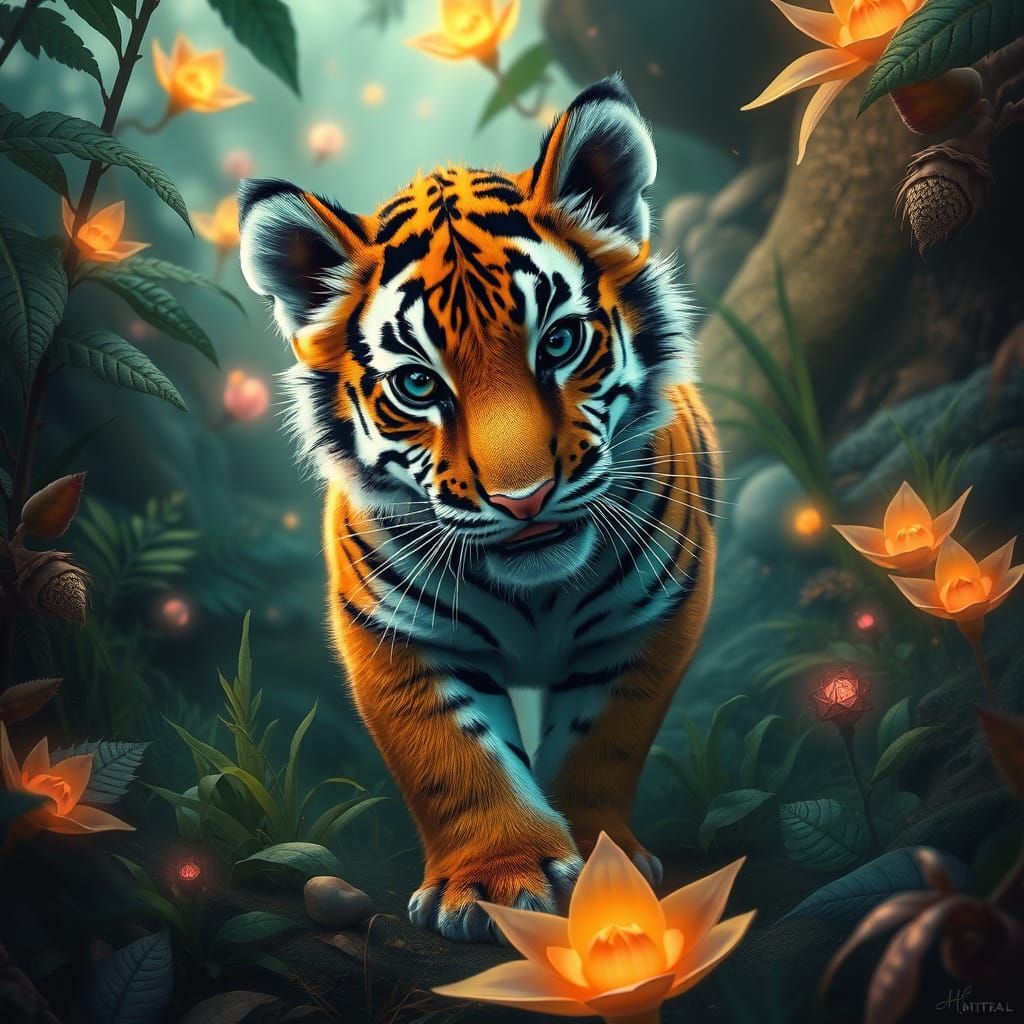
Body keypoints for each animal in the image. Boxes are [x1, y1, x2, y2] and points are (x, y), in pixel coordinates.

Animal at [238, 75, 719, 943]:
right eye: (418, 384)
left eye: (559, 343)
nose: (523, 499)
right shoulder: (397, 634)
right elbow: (456, 759)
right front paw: (502, 880)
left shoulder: (655, 616)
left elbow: (602, 744)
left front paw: (604, 868)